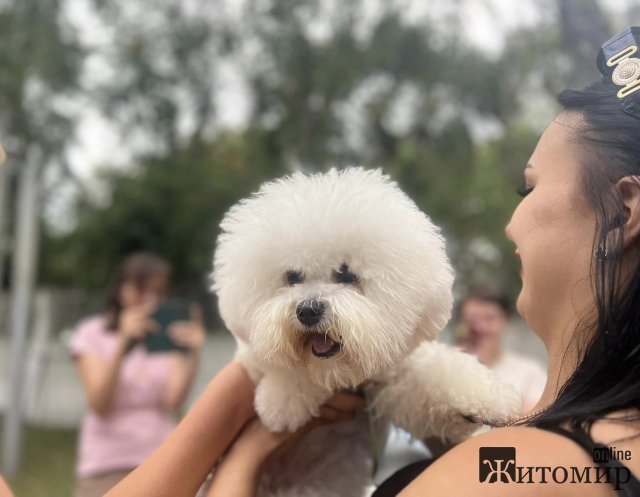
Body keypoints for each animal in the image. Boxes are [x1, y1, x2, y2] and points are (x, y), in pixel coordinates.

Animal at [212, 168, 524, 496]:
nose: (307, 310)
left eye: (347, 275)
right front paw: (280, 403)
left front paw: (489, 400)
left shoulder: (393, 377)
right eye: (292, 276)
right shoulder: (253, 353)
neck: (342, 374)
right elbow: (279, 362)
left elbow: (435, 374)